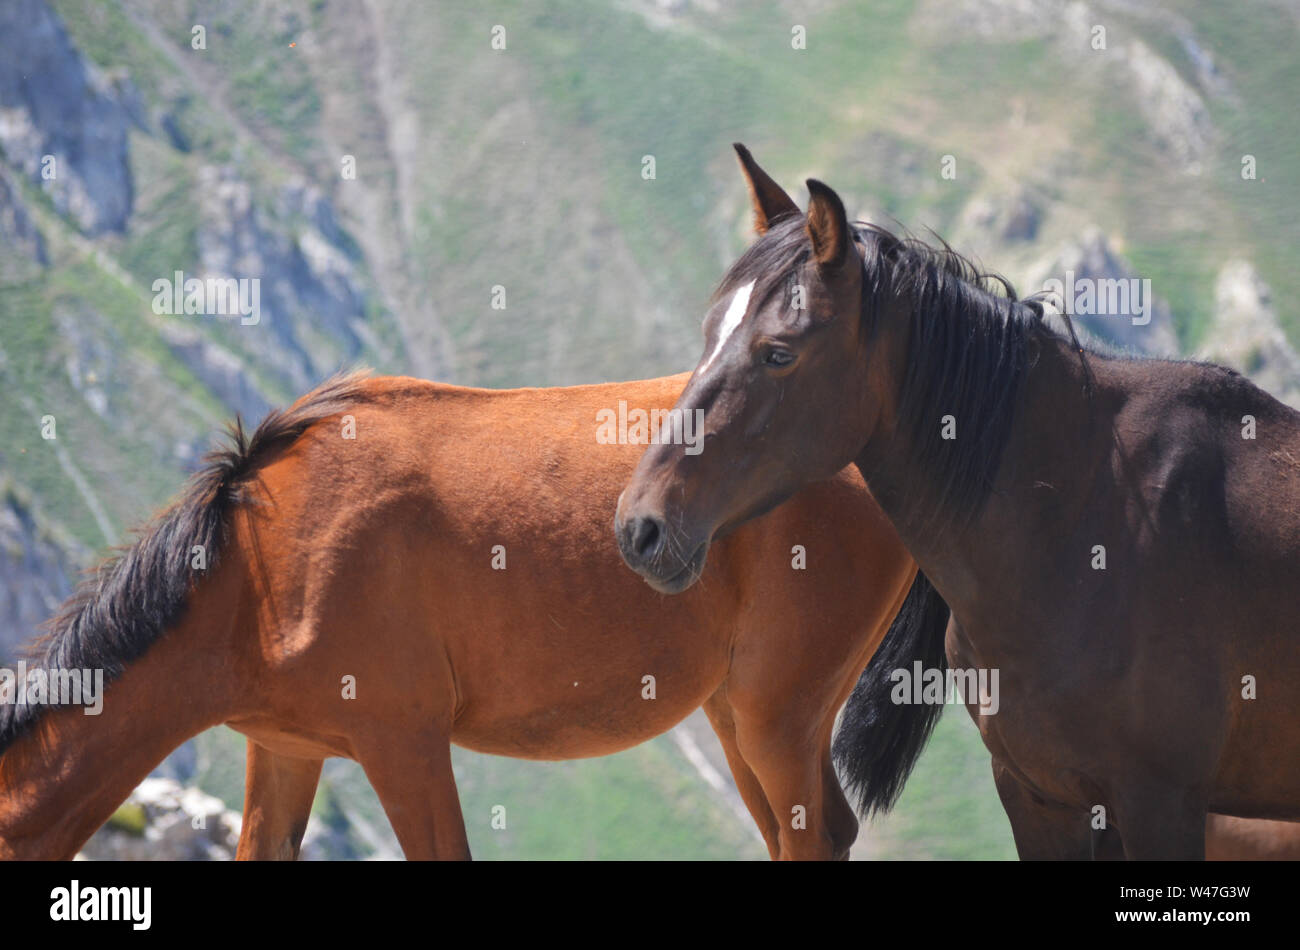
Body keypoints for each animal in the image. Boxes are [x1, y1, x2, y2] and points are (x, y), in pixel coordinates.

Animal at [613, 142, 1300, 862]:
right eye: (709, 332)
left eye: (778, 352)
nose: (641, 526)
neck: (1091, 527)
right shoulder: (1041, 797)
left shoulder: (1158, 803)